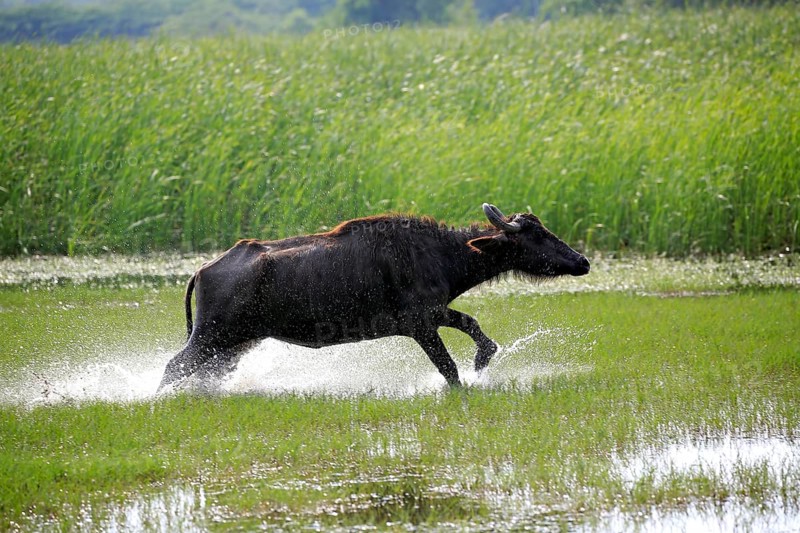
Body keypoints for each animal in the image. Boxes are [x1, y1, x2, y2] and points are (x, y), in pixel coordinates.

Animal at [158, 203, 589, 391]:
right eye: (536, 235)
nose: (582, 261)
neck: (443, 254)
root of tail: (203, 270)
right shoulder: (419, 324)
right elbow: (448, 369)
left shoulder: (434, 313)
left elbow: (475, 327)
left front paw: (481, 361)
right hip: (210, 336)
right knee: (173, 366)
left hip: (235, 343)